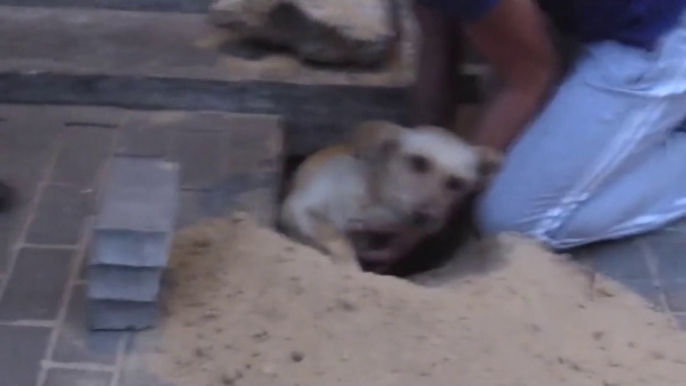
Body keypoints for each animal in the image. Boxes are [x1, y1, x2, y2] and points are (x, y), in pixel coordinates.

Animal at [280, 121, 500, 272]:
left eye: (456, 183)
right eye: (417, 162)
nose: (425, 216)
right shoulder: (298, 208)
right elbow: (336, 236)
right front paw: (349, 263)